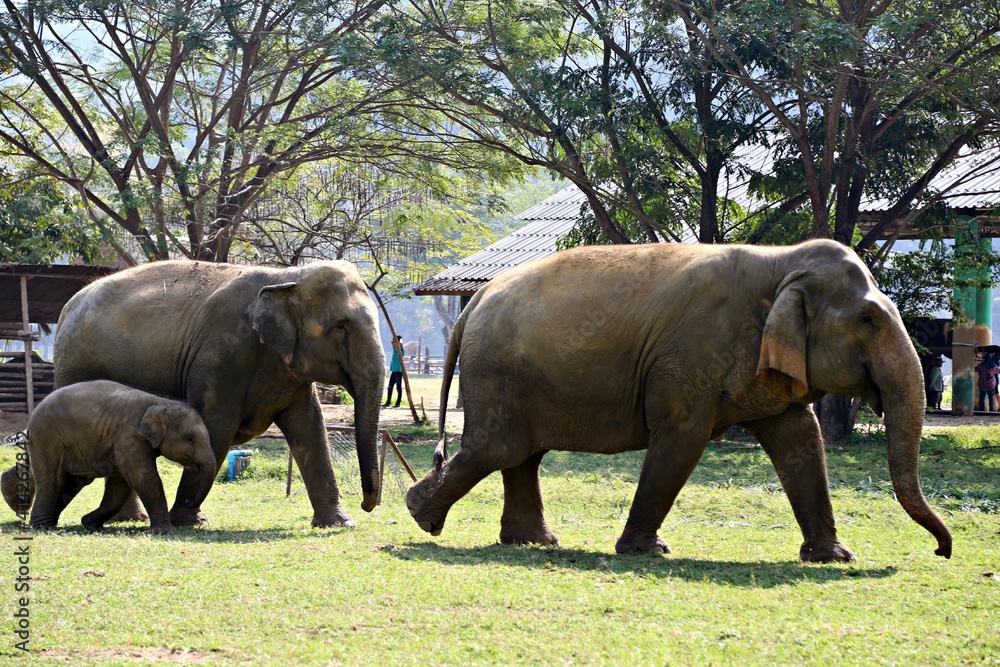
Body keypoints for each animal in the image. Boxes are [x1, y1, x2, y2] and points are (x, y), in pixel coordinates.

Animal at [2, 380, 214, 534]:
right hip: (46, 438)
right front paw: (166, 531)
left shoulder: (122, 444)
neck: (158, 402)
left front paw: (89, 523)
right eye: (190, 439)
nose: (189, 501)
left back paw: (49, 522)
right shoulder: (129, 438)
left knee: (70, 483)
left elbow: (120, 485)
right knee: (52, 480)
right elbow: (144, 478)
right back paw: (42, 527)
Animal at [406, 239, 952, 562]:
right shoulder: (691, 355)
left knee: (521, 454)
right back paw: (422, 515)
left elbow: (800, 437)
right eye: (869, 321)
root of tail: (474, 299)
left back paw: (533, 542)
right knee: (496, 448)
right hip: (498, 371)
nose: (942, 553)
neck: (780, 261)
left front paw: (835, 558)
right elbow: (682, 438)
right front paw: (647, 551)